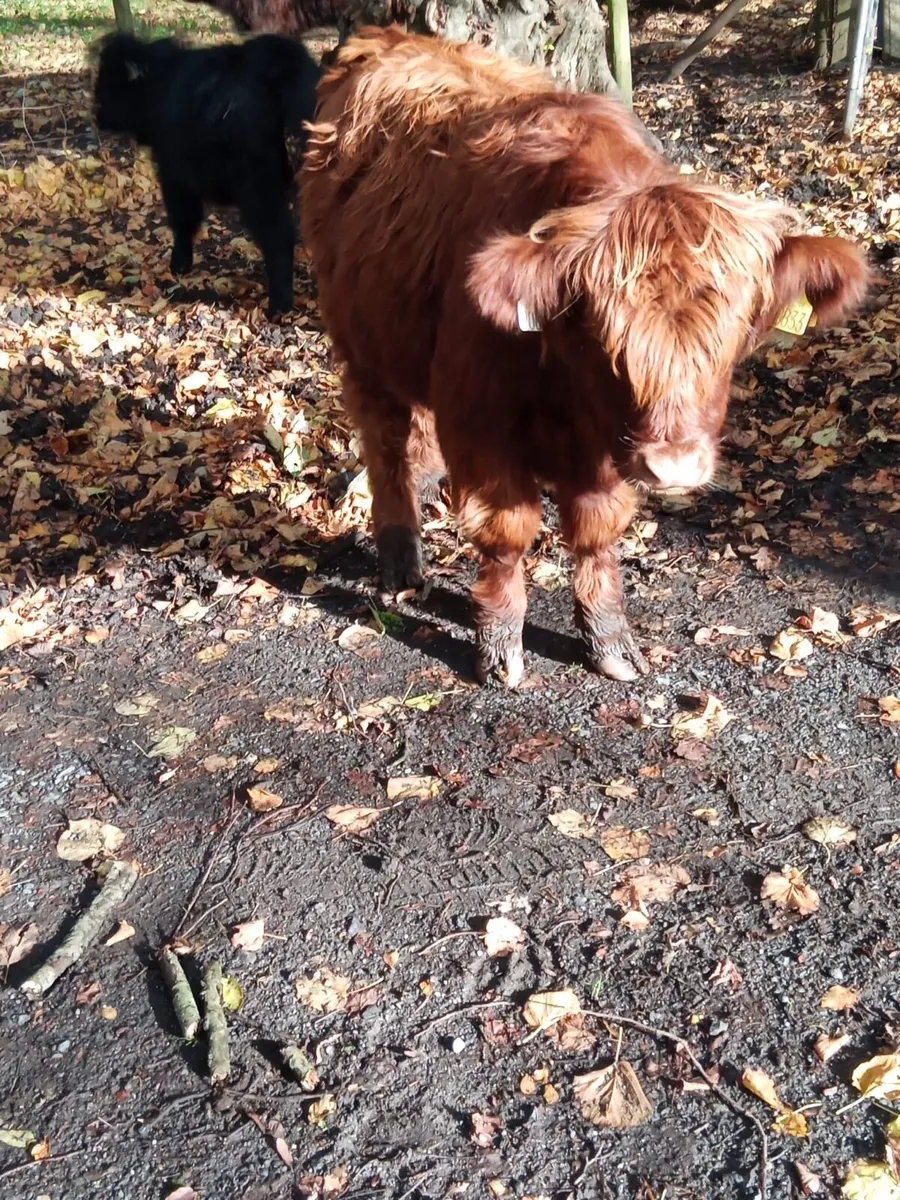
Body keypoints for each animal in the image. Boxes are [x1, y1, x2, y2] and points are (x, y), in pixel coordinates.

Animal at [300, 27, 869, 687]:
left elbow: (598, 531)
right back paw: (398, 556)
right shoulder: (481, 424)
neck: (566, 391)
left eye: (734, 335)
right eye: (603, 336)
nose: (675, 465)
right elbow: (508, 532)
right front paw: (501, 645)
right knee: (385, 441)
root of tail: (384, 38)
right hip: (360, 343)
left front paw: (609, 639)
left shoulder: (610, 449)